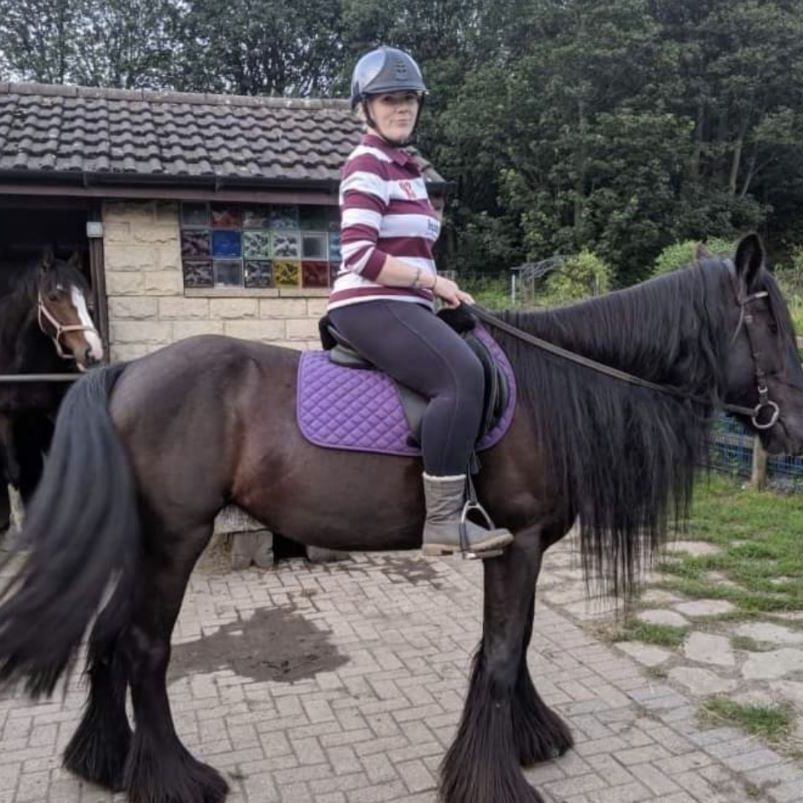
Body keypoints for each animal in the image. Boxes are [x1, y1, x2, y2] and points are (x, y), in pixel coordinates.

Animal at [0, 249, 103, 509]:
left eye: (87, 294)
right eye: (53, 296)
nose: (93, 352)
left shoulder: (51, 410)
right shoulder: (3, 417)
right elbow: (13, 472)